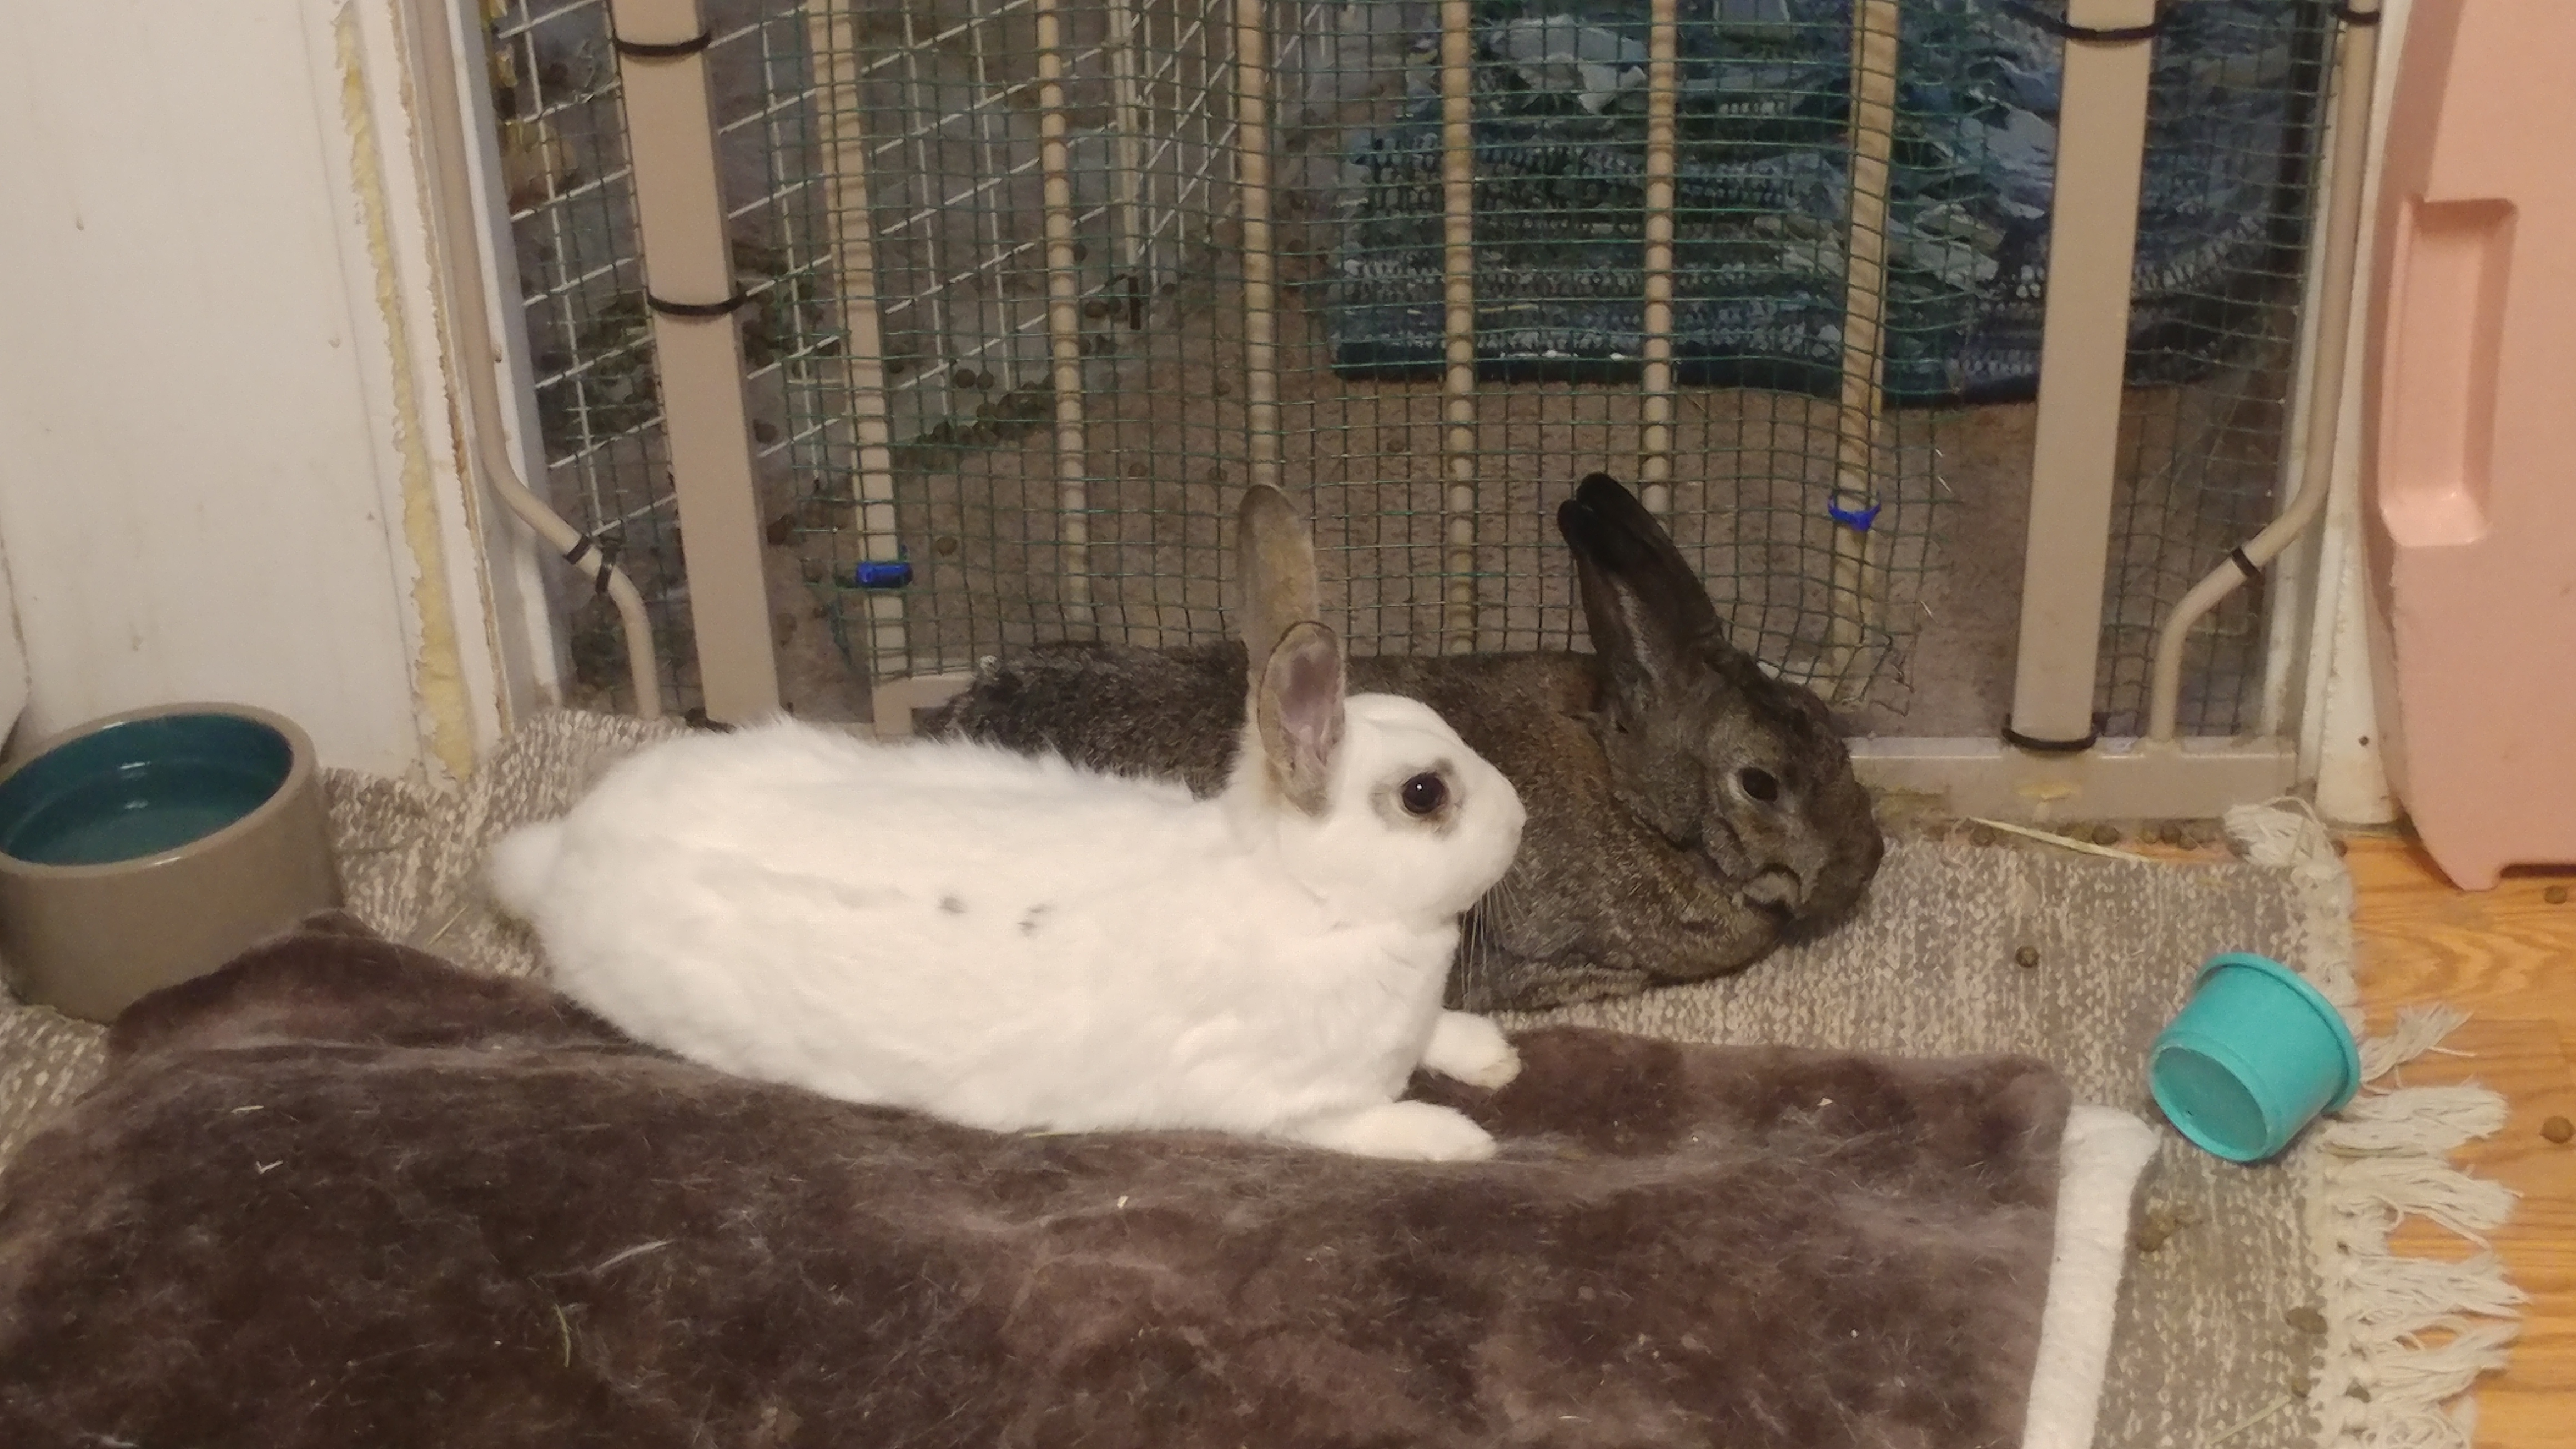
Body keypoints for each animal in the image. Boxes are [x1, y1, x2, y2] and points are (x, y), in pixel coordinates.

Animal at [487, 485, 1531, 1163]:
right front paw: (1465, 1139)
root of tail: (562, 857)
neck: (1315, 899)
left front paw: (1493, 1054)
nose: (1520, 818)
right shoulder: (1281, 1100)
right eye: (1425, 795)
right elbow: (1365, 1126)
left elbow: (1438, 1034)